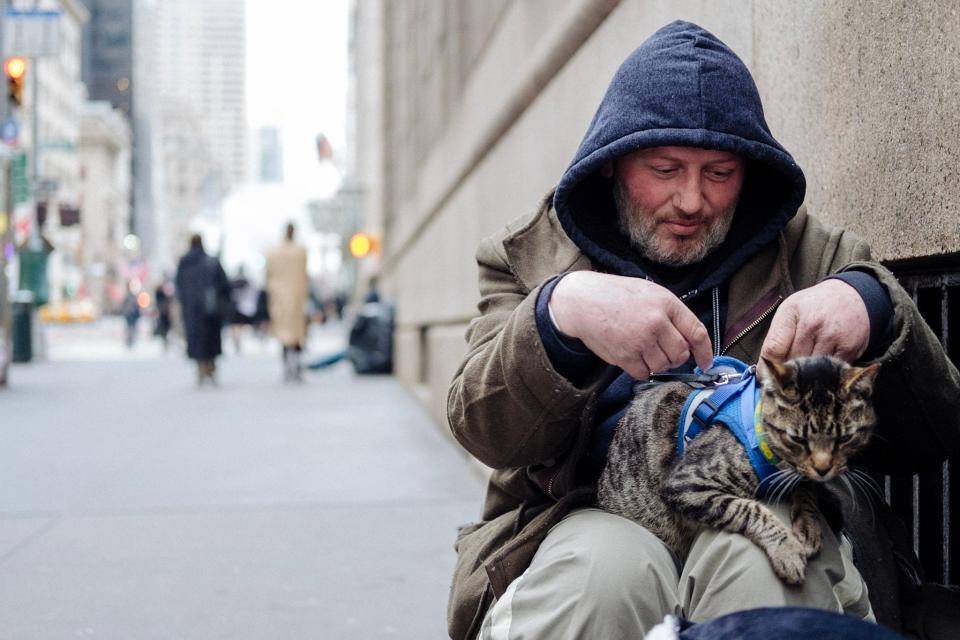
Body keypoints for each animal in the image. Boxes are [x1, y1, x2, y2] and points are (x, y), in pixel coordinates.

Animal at [596, 356, 880, 584]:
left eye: (846, 438)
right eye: (797, 438)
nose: (824, 469)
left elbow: (804, 487)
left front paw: (809, 523)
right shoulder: (685, 482)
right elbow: (749, 509)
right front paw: (787, 548)